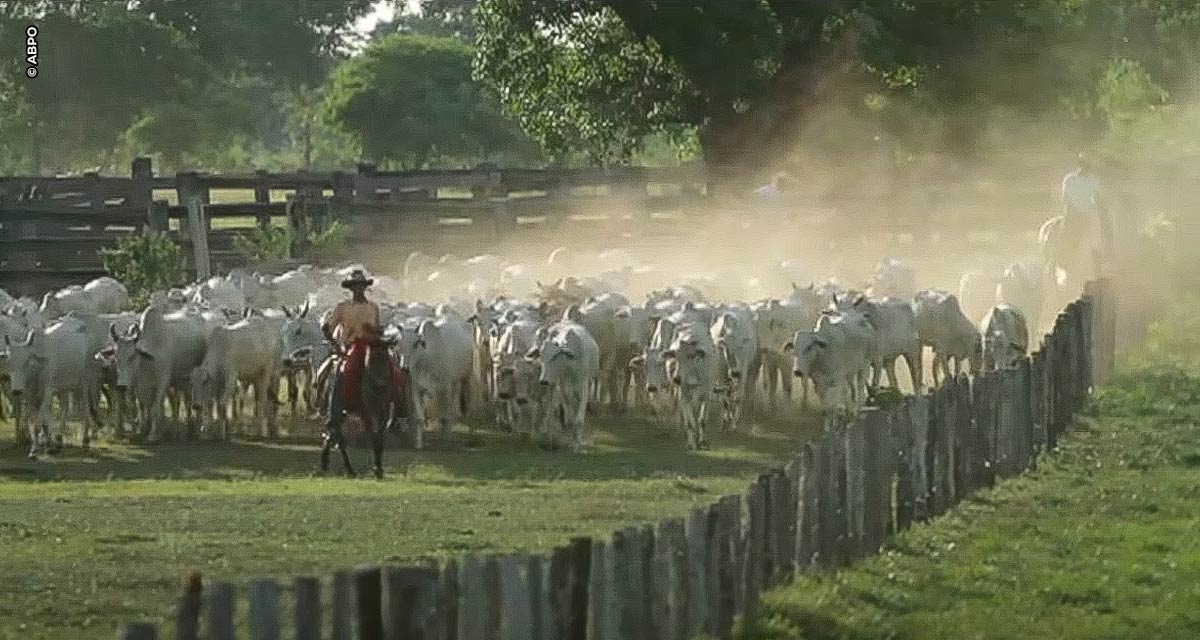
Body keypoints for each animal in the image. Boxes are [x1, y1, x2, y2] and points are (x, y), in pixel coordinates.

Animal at [525, 321, 600, 451]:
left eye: (555, 356)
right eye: (541, 355)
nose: (543, 381)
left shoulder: (583, 384)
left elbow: (578, 419)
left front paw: (577, 445)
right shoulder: (562, 386)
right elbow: (569, 419)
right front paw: (571, 442)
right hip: (555, 385)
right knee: (549, 406)